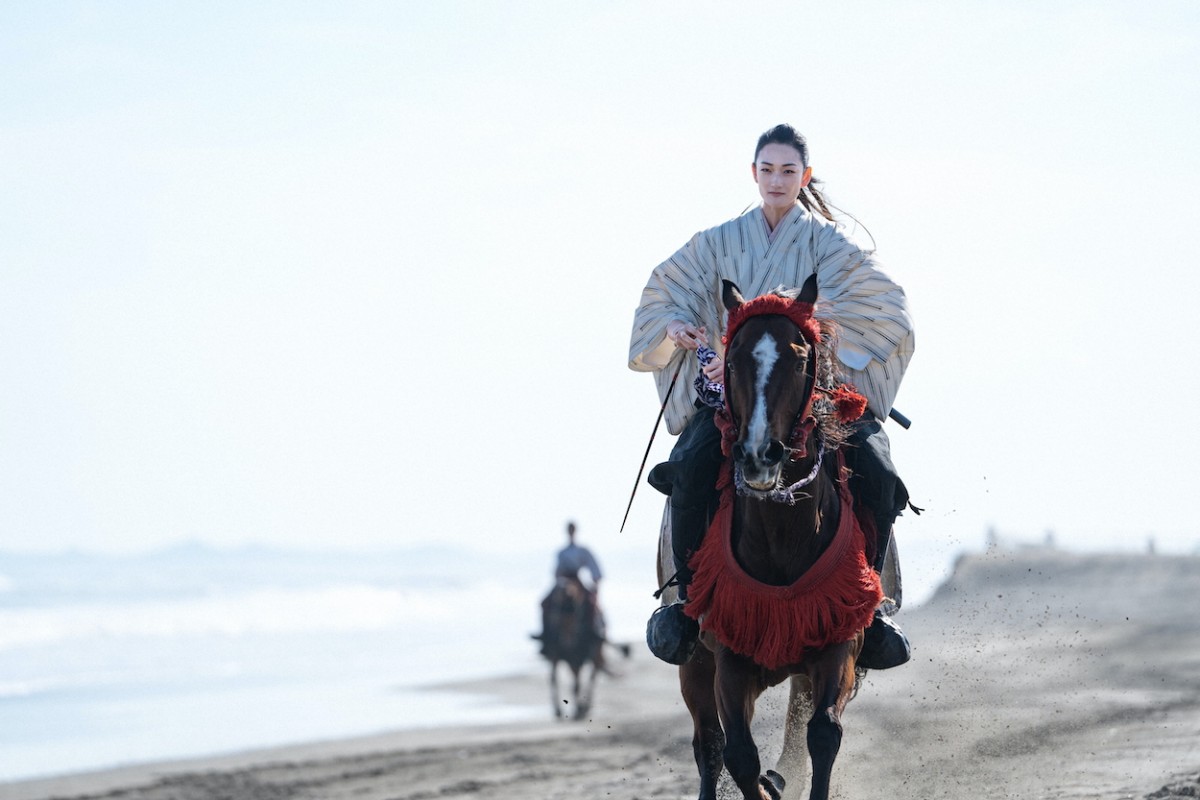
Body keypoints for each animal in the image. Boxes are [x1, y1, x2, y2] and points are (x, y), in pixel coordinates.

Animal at [662, 277, 888, 800]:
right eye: (732, 360)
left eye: (800, 359)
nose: (759, 455)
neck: (781, 533)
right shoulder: (729, 656)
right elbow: (739, 755)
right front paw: (763, 786)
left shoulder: (838, 641)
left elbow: (822, 734)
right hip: (694, 663)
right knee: (708, 744)